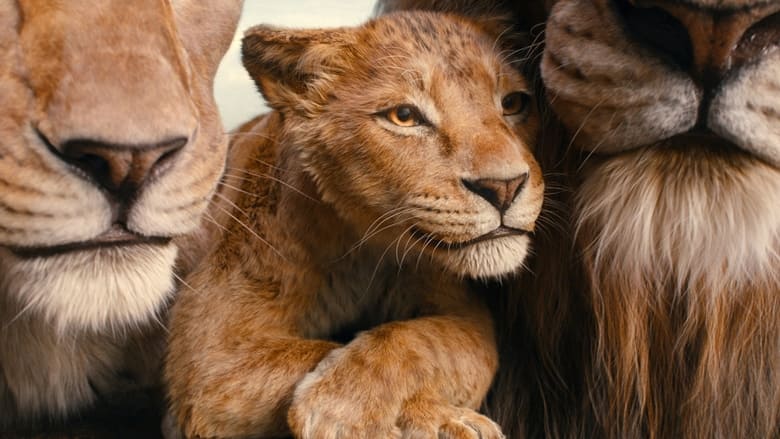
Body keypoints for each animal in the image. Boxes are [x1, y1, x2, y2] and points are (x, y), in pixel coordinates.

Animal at [164, 11, 544, 438]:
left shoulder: (463, 312)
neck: (363, 248)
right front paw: (360, 411)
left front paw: (347, 401)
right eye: (404, 116)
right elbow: (310, 352)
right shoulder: (210, 351)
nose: (504, 187)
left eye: (513, 103)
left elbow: (432, 342)